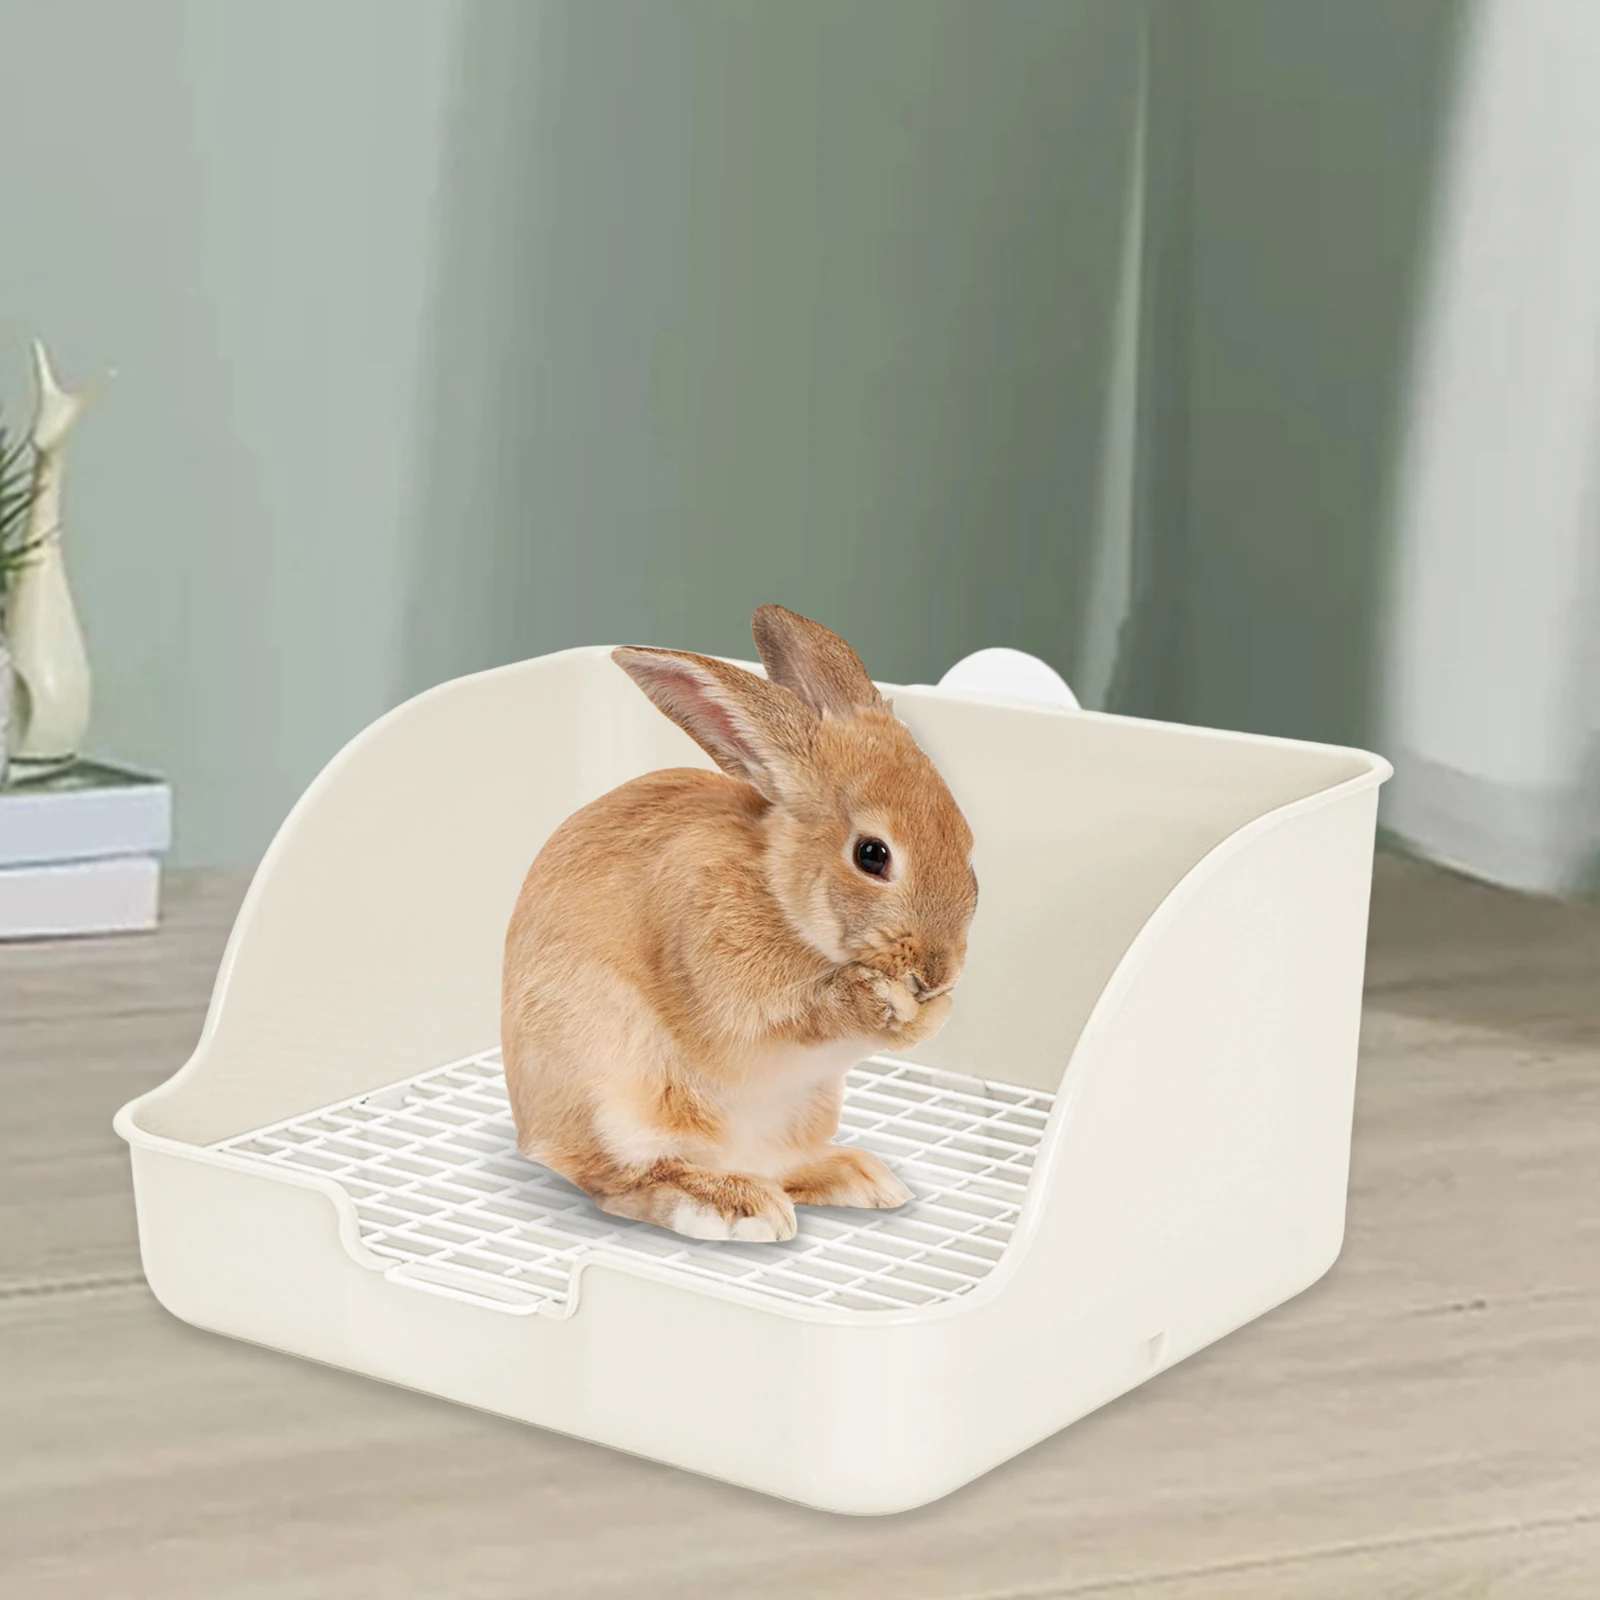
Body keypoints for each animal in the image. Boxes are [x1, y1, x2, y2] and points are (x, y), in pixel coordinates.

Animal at [501, 605, 978, 1242]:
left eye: (967, 842)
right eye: (872, 855)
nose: (937, 971)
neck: (780, 892)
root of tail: (529, 1129)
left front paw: (930, 1012)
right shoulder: (728, 984)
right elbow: (795, 1016)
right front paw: (882, 1003)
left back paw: (856, 1177)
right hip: (617, 1095)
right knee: (620, 1182)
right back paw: (735, 1206)